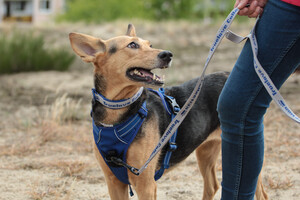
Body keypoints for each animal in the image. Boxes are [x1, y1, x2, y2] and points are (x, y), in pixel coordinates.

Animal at [68, 24, 268, 200]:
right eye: (132, 45)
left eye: (149, 45)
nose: (167, 54)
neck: (118, 116)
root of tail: (228, 73)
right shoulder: (113, 182)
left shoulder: (145, 183)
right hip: (206, 151)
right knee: (212, 185)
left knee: (260, 193)